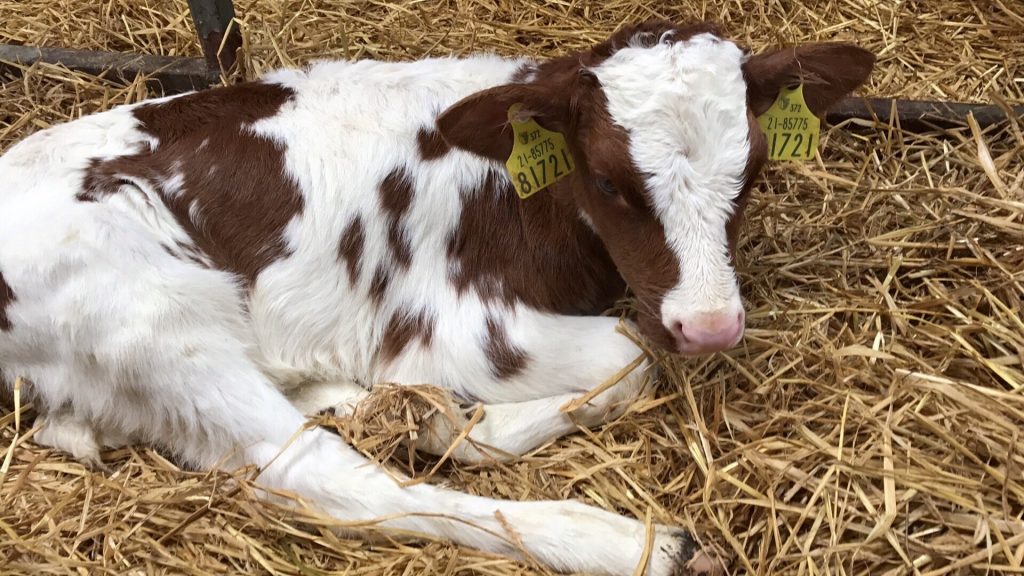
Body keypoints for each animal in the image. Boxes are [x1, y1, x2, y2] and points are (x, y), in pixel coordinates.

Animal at [0, 20, 874, 576]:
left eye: (752, 170)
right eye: (607, 180)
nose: (710, 324)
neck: (521, 191)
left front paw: (431, 414)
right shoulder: (453, 326)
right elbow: (630, 355)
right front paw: (456, 420)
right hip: (155, 316)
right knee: (320, 476)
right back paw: (629, 543)